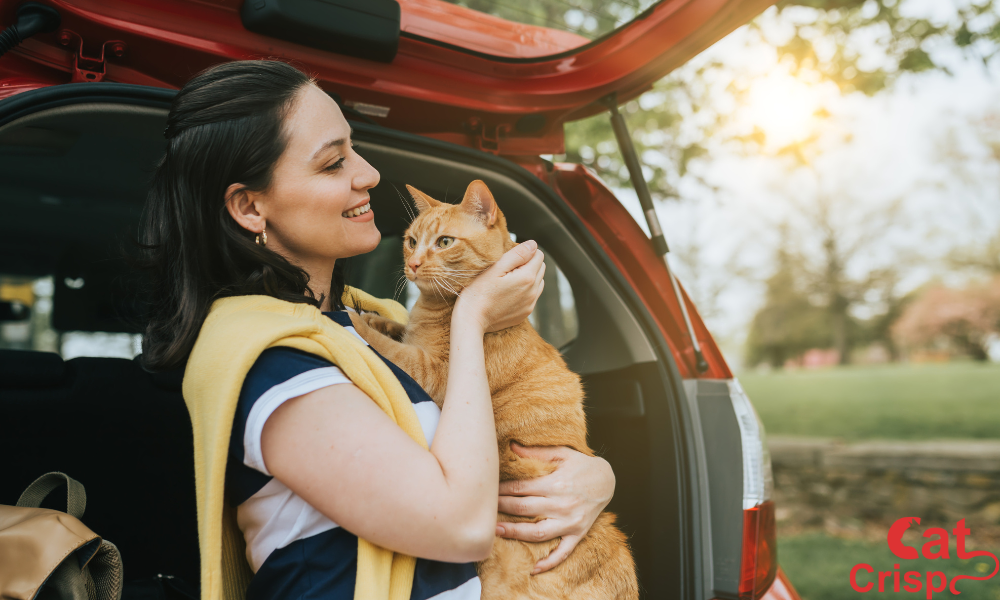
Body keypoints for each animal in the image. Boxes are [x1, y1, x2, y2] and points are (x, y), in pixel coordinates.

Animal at [348, 179, 636, 600]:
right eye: (411, 241)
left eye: (444, 242)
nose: (412, 264)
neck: (434, 308)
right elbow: (396, 330)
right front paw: (374, 317)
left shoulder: (435, 375)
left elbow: (393, 349)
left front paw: (356, 323)